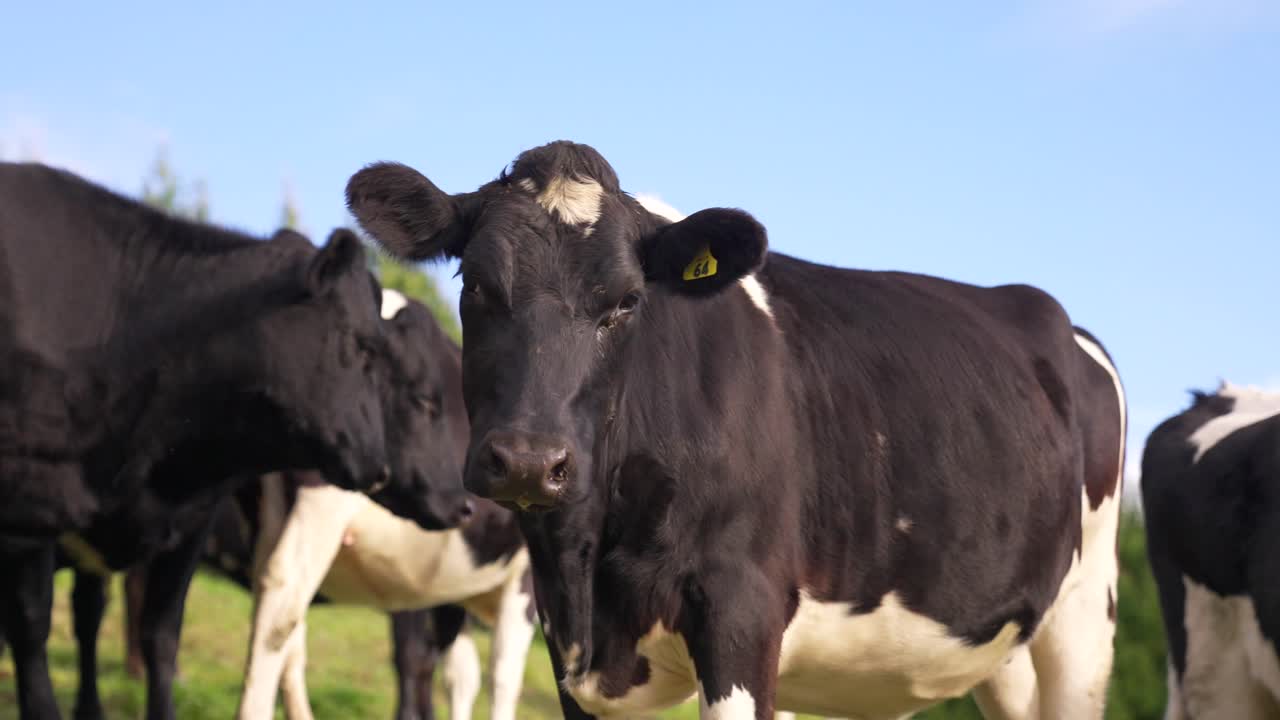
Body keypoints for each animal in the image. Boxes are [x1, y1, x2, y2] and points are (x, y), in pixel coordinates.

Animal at [346, 140, 1128, 719]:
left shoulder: (741, 611)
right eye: (475, 284)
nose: (530, 462)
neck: (590, 563)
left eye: (627, 301)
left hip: (1084, 622)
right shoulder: (569, 650)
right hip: (1007, 654)